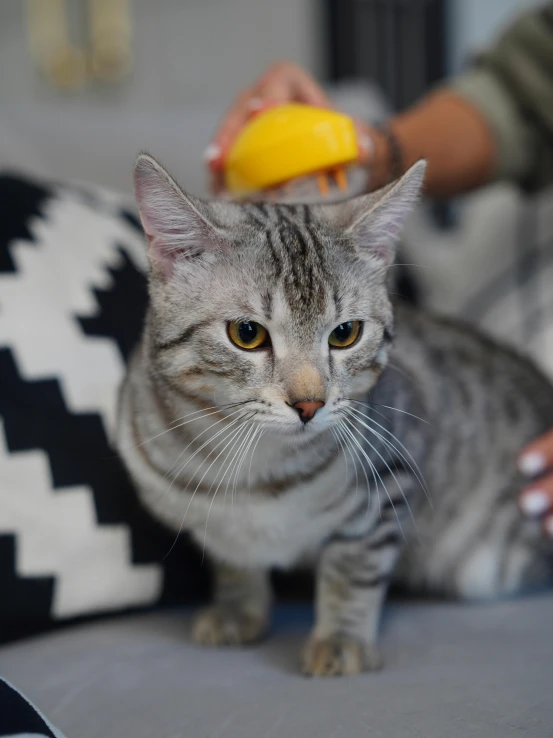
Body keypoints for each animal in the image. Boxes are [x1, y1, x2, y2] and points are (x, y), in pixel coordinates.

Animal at [116, 152, 552, 676]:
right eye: (246, 334)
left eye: (345, 333)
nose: (309, 403)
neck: (253, 468)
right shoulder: (211, 522)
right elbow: (234, 559)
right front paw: (238, 609)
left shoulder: (387, 486)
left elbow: (353, 568)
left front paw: (341, 639)